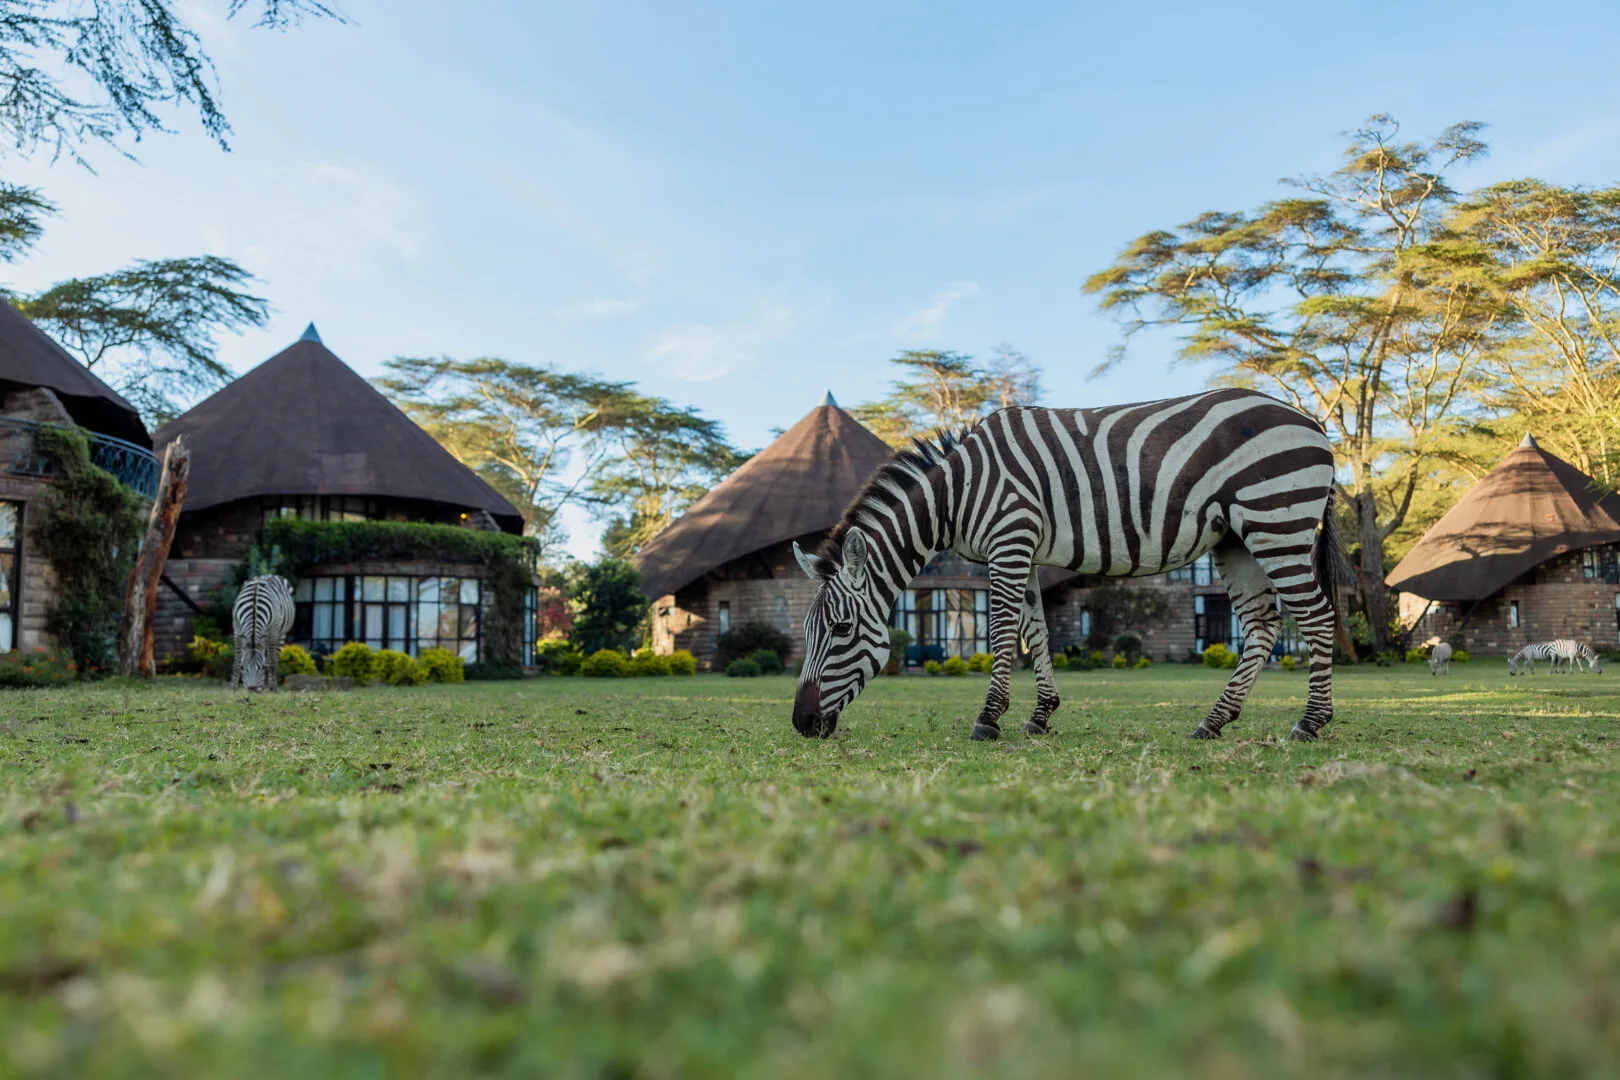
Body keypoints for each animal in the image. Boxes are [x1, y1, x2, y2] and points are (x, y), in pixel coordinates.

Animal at [790, 388, 1342, 743]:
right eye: (807, 632)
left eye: (841, 629)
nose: (800, 723)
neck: (957, 494)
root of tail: (1312, 422)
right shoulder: (1024, 549)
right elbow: (1036, 631)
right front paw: (1040, 716)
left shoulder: (1009, 540)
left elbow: (1001, 631)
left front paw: (988, 720)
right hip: (1237, 539)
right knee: (1264, 625)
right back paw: (1213, 721)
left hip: (1276, 522)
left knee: (1316, 617)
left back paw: (1310, 723)